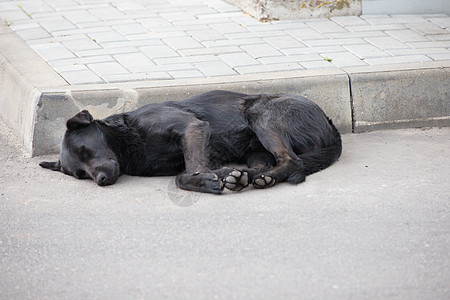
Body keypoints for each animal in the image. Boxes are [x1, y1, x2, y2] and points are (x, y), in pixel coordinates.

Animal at [41, 90, 342, 195]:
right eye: (80, 174)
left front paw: (204, 180)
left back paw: (261, 180)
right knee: (268, 163)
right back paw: (243, 176)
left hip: (261, 115)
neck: (130, 140)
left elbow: (186, 172)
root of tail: (330, 124)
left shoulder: (192, 128)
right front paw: (214, 176)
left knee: (293, 161)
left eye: (85, 150)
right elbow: (190, 170)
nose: (101, 180)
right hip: (256, 151)